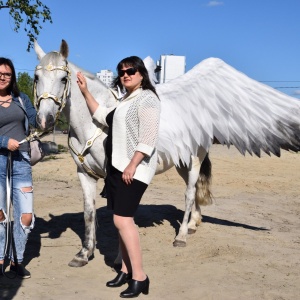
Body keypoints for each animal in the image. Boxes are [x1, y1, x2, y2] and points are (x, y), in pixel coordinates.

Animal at [32, 39, 300, 268]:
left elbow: (118, 218)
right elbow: (89, 213)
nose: (45, 120)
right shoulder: (84, 174)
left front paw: (119, 259)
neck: (96, 124)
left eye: (63, 78)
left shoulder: (114, 177)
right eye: (36, 77)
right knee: (193, 193)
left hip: (194, 160)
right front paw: (84, 254)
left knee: (190, 194)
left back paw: (181, 236)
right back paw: (192, 224)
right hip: (181, 164)